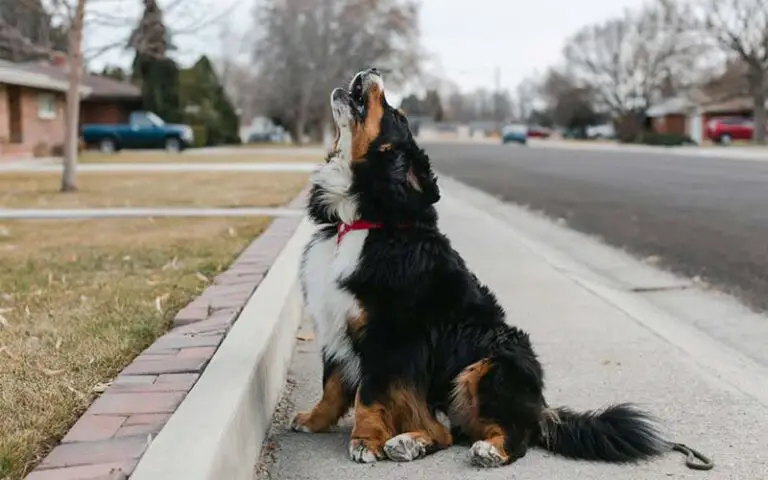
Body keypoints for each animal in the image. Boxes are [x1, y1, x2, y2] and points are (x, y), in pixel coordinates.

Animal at [292, 65, 708, 470]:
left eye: (396, 114)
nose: (372, 69)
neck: (361, 220)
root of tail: (541, 410)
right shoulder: (336, 321)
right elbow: (332, 384)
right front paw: (313, 420)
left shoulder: (388, 335)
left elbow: (368, 395)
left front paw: (364, 441)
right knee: (443, 430)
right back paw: (409, 443)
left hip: (491, 361)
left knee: (507, 436)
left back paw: (486, 450)